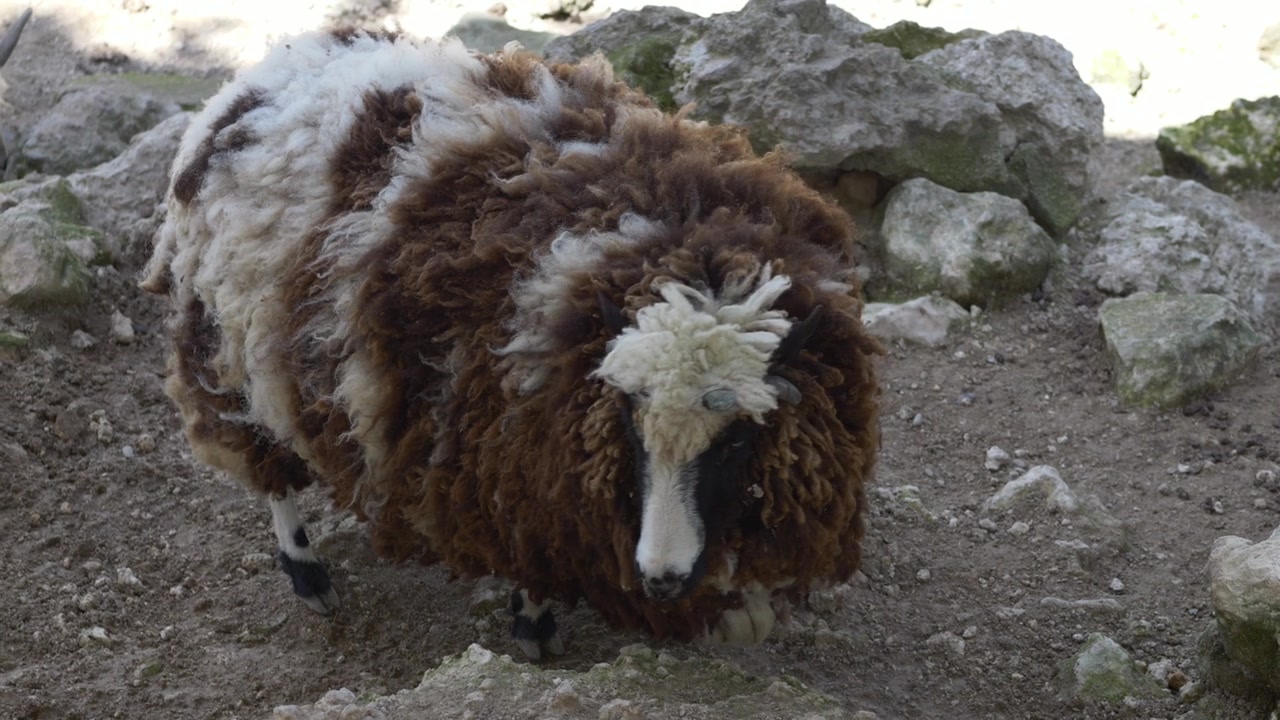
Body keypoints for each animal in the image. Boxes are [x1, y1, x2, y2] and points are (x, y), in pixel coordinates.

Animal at [141, 28, 882, 657]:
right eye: (628, 418)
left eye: (736, 439)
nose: (661, 575)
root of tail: (256, 75)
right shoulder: (516, 453)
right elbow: (534, 548)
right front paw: (534, 626)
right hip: (225, 348)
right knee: (268, 465)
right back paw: (306, 571)